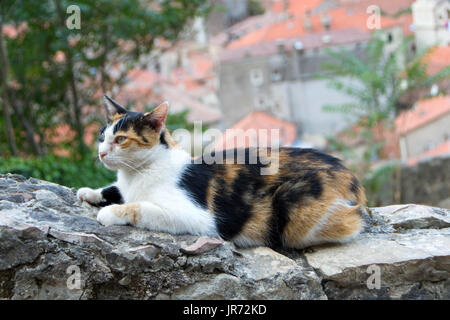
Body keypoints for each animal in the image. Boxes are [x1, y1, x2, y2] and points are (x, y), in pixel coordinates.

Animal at [77, 94, 366, 249]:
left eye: (121, 139)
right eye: (102, 136)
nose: (101, 153)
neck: (136, 173)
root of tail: (350, 176)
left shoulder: (198, 219)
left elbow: (141, 207)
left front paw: (110, 212)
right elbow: (114, 189)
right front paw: (88, 192)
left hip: (292, 205)